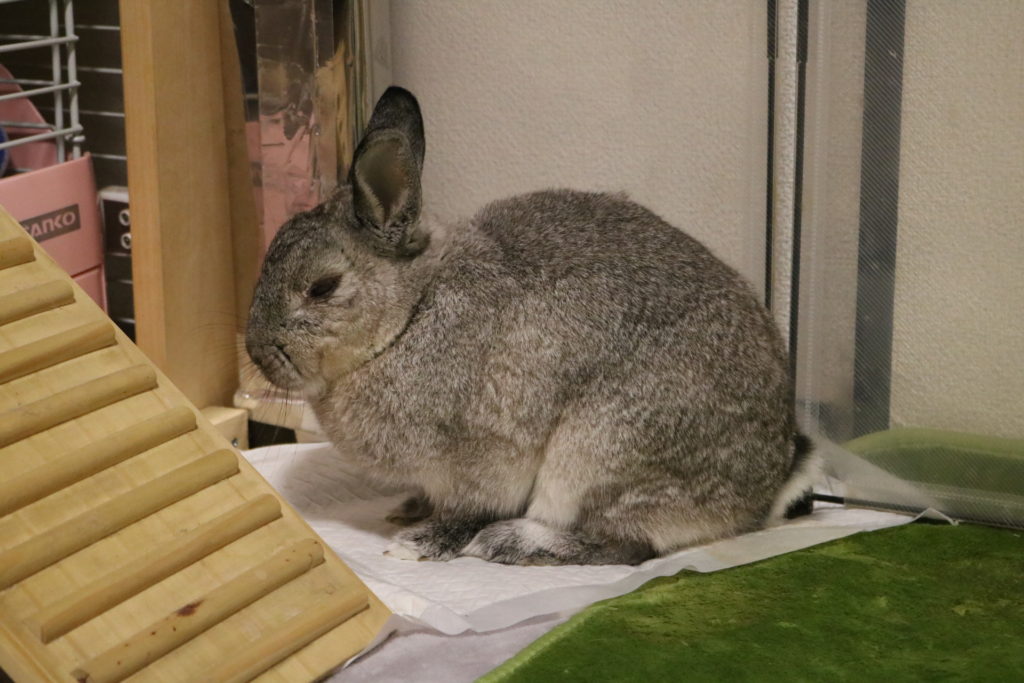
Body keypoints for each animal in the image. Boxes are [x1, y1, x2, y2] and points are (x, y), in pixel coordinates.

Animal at [246, 86, 817, 566]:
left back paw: (510, 543)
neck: (409, 316)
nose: (256, 353)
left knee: (626, 546)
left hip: (599, 457)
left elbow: (471, 508)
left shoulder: (486, 463)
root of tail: (765, 485)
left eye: (322, 287)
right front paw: (409, 508)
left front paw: (420, 542)